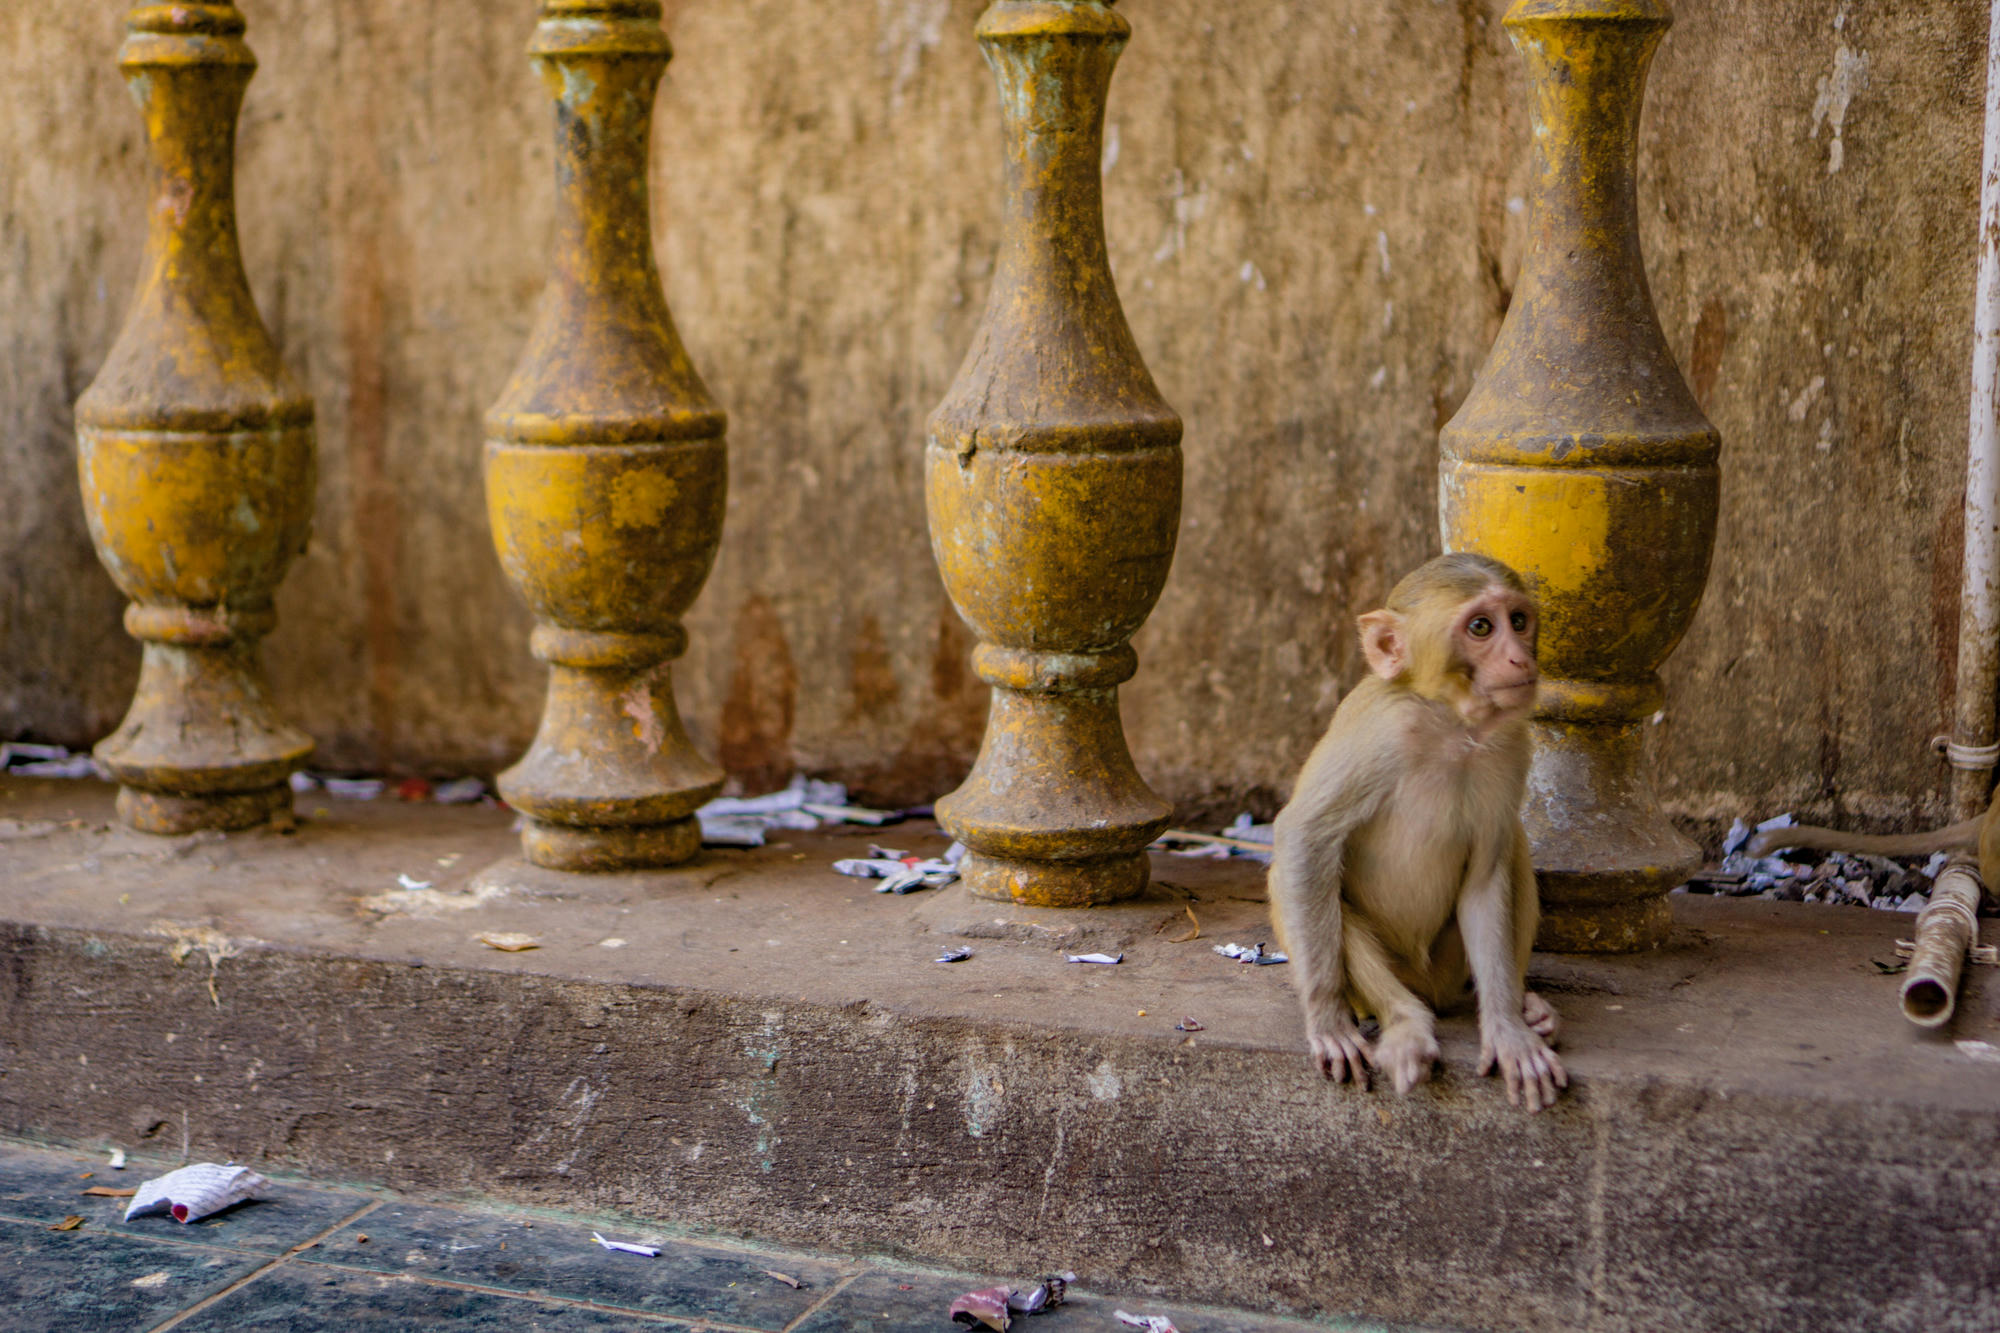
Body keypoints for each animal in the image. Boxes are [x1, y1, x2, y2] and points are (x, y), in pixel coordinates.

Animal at [1272, 548, 1568, 1112]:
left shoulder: (1512, 747)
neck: (1452, 723)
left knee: (1513, 848)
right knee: (1311, 887)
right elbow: (1305, 839)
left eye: (1518, 622)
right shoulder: (1382, 732)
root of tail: (1431, 989)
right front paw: (1327, 1020)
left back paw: (1525, 1008)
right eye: (1481, 627)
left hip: (1450, 966)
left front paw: (1507, 1031)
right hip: (1395, 977)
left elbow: (1487, 877)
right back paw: (1405, 1024)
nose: (1520, 659)